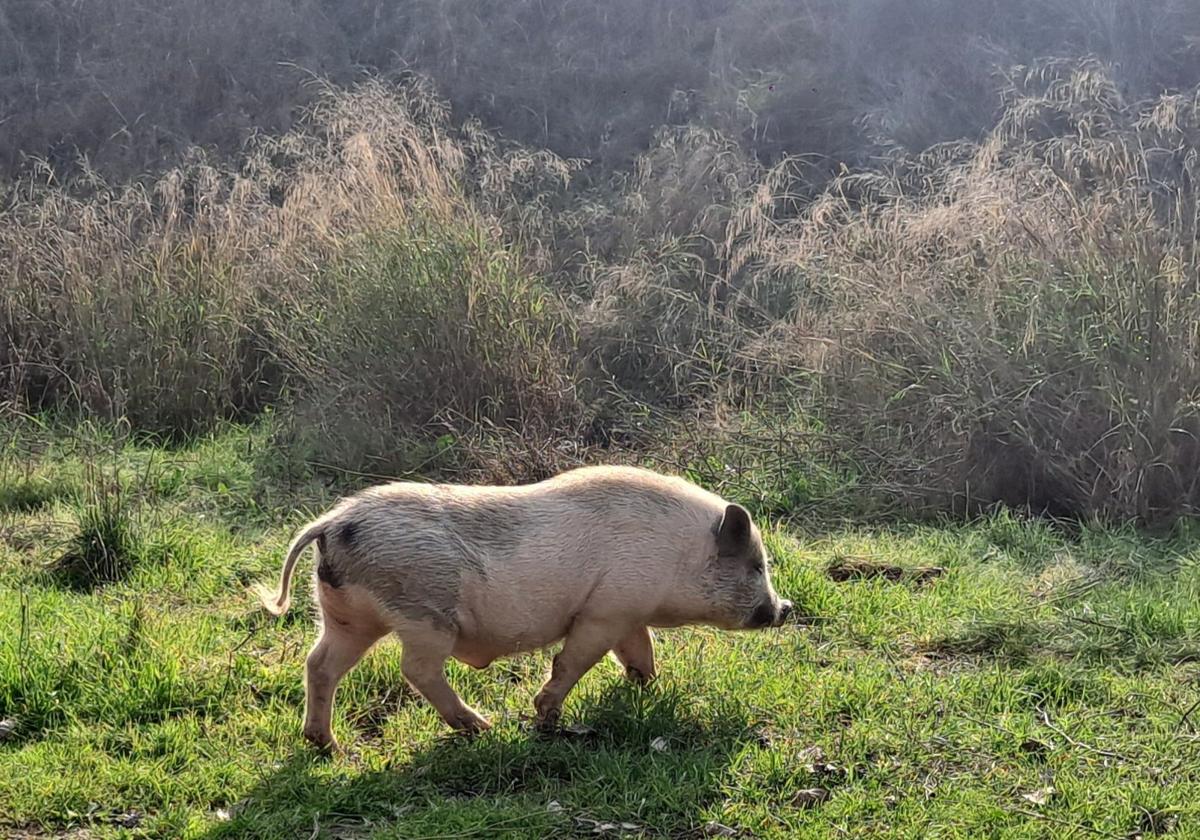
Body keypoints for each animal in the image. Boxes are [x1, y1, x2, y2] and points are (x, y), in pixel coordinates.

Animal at [255, 465, 787, 748]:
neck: (680, 553)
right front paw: (547, 719)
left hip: (346, 617)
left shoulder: (625, 611)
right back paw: (481, 727)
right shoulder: (604, 612)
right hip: (424, 615)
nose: (783, 608)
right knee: (416, 669)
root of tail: (332, 522)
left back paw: (325, 745)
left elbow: (641, 653)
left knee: (320, 664)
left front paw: (647, 691)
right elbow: (572, 661)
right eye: (757, 565)